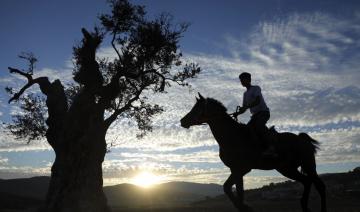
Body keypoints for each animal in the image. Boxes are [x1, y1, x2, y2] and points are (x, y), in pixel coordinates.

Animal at [180, 93, 326, 212]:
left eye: (197, 108)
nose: (182, 121)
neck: (233, 136)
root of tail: (302, 139)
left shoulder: (242, 169)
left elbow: (232, 189)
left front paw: (245, 207)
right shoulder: (236, 170)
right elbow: (233, 189)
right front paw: (244, 207)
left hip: (308, 165)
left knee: (319, 185)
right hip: (287, 169)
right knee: (306, 182)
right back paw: (305, 207)